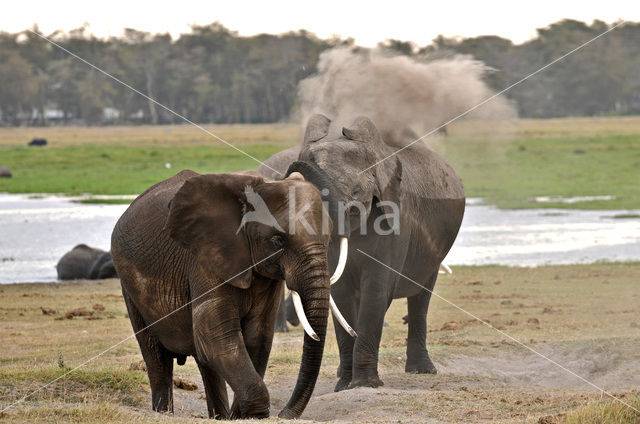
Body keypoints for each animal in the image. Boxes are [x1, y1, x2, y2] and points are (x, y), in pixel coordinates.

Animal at [112, 170, 358, 420]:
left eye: (328, 238)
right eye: (277, 240)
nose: (284, 414)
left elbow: (257, 336)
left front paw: (241, 414)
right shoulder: (206, 257)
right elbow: (216, 335)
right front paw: (252, 413)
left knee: (205, 362)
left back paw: (218, 417)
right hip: (129, 288)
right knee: (156, 357)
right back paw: (164, 413)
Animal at [260, 113, 464, 390]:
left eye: (356, 194)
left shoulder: (396, 220)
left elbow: (376, 290)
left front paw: (365, 384)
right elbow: (341, 292)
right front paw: (344, 385)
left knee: (421, 297)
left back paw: (422, 370)